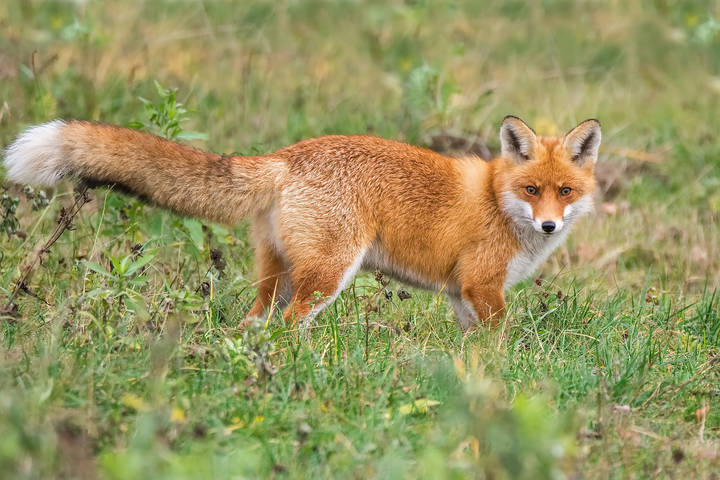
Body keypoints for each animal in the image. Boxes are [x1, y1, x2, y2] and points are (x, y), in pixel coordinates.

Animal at [3, 115, 600, 331]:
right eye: (532, 191)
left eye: (565, 193)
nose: (549, 227)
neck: (499, 201)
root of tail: (287, 155)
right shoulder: (481, 285)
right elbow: (503, 342)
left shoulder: (462, 293)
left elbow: (474, 348)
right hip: (326, 275)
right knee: (288, 328)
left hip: (279, 276)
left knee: (253, 325)